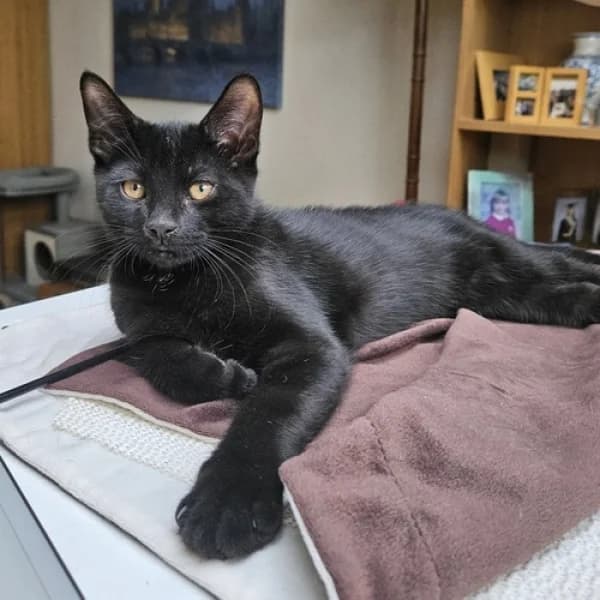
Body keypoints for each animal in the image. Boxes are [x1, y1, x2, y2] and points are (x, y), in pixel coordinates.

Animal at [80, 71, 600, 560]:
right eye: (133, 189)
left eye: (201, 188)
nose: (161, 228)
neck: (182, 283)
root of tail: (458, 215)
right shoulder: (135, 327)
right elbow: (157, 351)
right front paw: (222, 375)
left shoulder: (313, 346)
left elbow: (270, 411)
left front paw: (228, 501)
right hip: (499, 294)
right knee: (559, 293)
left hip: (511, 262)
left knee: (561, 259)